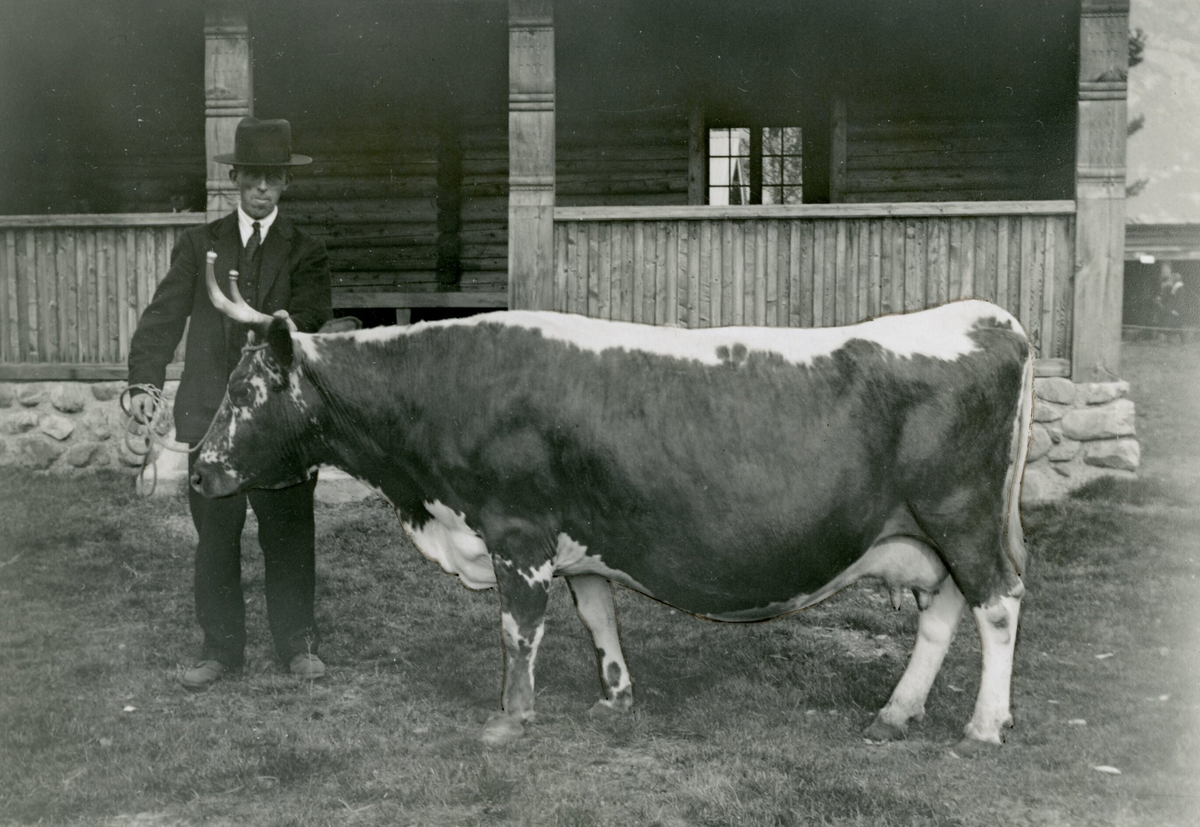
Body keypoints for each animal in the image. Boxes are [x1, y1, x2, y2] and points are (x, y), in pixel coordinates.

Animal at [189, 248, 1032, 753]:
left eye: (245, 390)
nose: (196, 471)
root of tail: (986, 316)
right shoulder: (583, 540)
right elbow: (598, 617)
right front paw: (614, 699)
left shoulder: (518, 532)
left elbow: (517, 628)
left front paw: (510, 717)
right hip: (932, 531)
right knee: (944, 612)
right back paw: (897, 709)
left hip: (961, 514)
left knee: (997, 603)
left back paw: (983, 724)